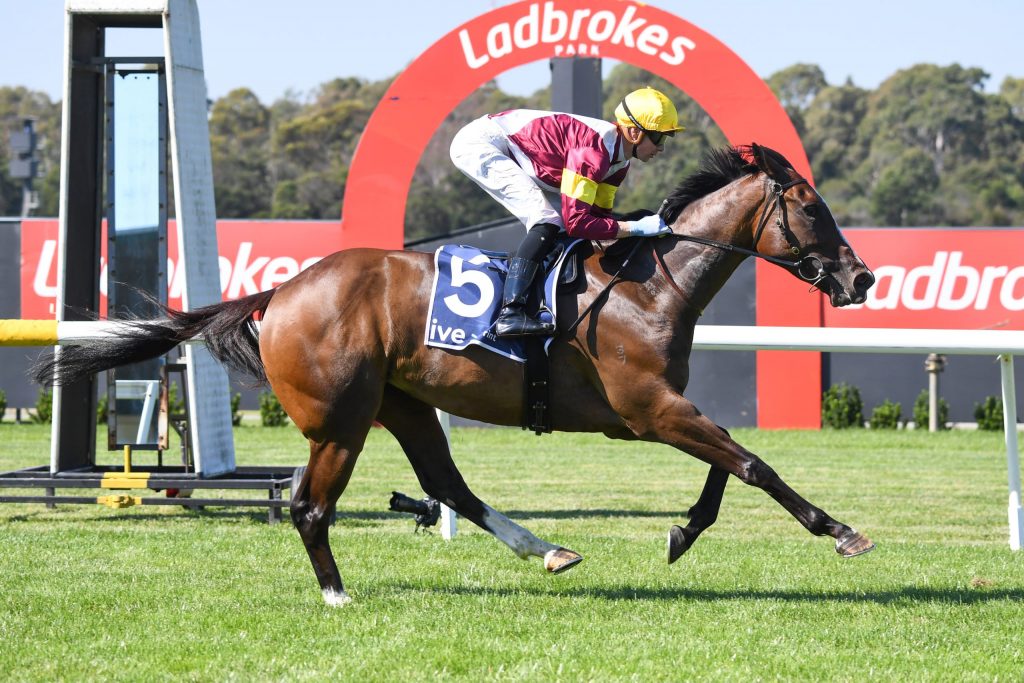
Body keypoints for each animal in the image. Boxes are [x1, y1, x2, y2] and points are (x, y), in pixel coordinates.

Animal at [40, 143, 876, 606]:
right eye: (810, 207)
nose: (861, 276)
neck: (647, 282)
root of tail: (278, 292)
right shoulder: (648, 409)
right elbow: (752, 462)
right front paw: (841, 530)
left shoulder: (660, 408)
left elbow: (730, 463)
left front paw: (683, 530)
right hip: (342, 421)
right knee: (312, 506)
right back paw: (337, 593)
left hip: (405, 404)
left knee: (449, 486)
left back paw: (548, 549)